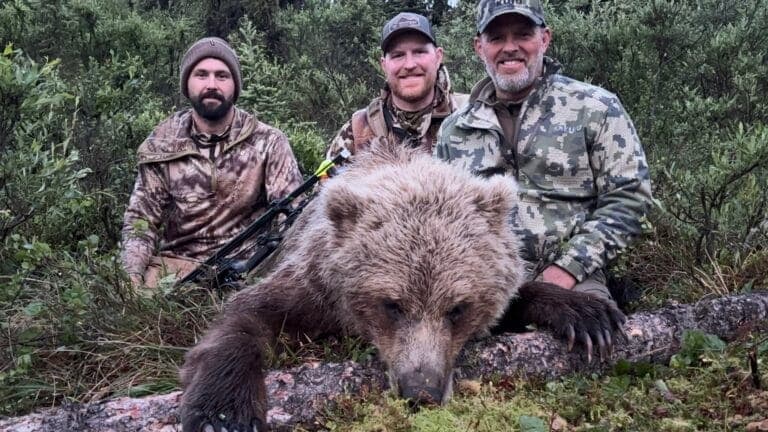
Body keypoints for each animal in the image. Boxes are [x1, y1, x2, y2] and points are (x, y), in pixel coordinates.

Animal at [178, 139, 626, 432]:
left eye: (457, 308)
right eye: (391, 304)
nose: (421, 390)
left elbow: (519, 293)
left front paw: (586, 315)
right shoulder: (313, 283)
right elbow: (246, 315)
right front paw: (223, 414)